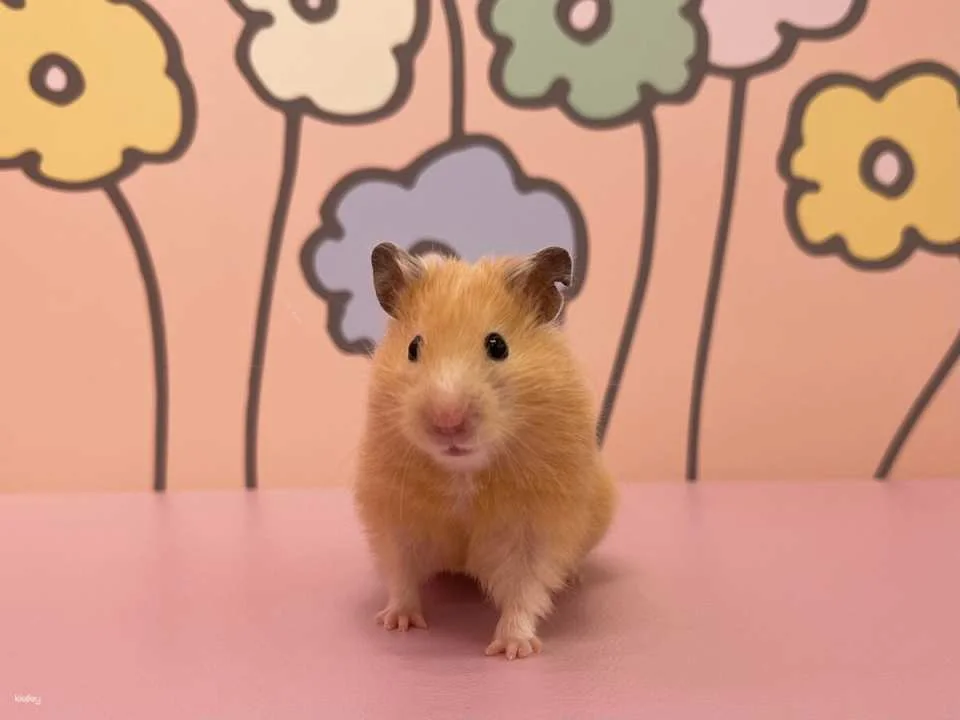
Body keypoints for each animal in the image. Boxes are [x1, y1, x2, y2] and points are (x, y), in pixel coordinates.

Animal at [354, 242, 618, 660]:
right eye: (413, 347)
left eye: (498, 345)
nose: (448, 422)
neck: (463, 470)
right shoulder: (394, 516)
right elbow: (401, 574)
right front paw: (396, 623)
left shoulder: (536, 527)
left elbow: (525, 589)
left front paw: (512, 649)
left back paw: (574, 577)